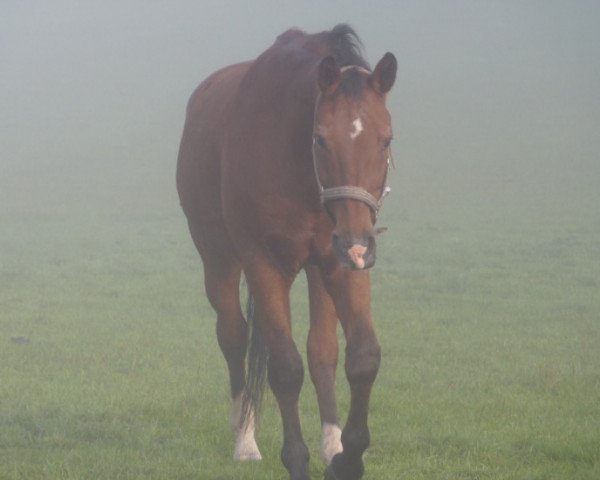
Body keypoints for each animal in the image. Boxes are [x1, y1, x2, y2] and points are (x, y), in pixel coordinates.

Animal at [176, 25, 396, 480]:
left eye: (385, 140)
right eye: (321, 139)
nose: (358, 243)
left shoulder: (340, 264)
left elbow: (361, 356)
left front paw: (347, 458)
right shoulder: (264, 263)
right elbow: (285, 367)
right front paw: (296, 460)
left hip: (322, 266)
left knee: (322, 350)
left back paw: (331, 442)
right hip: (219, 258)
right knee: (234, 334)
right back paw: (244, 437)